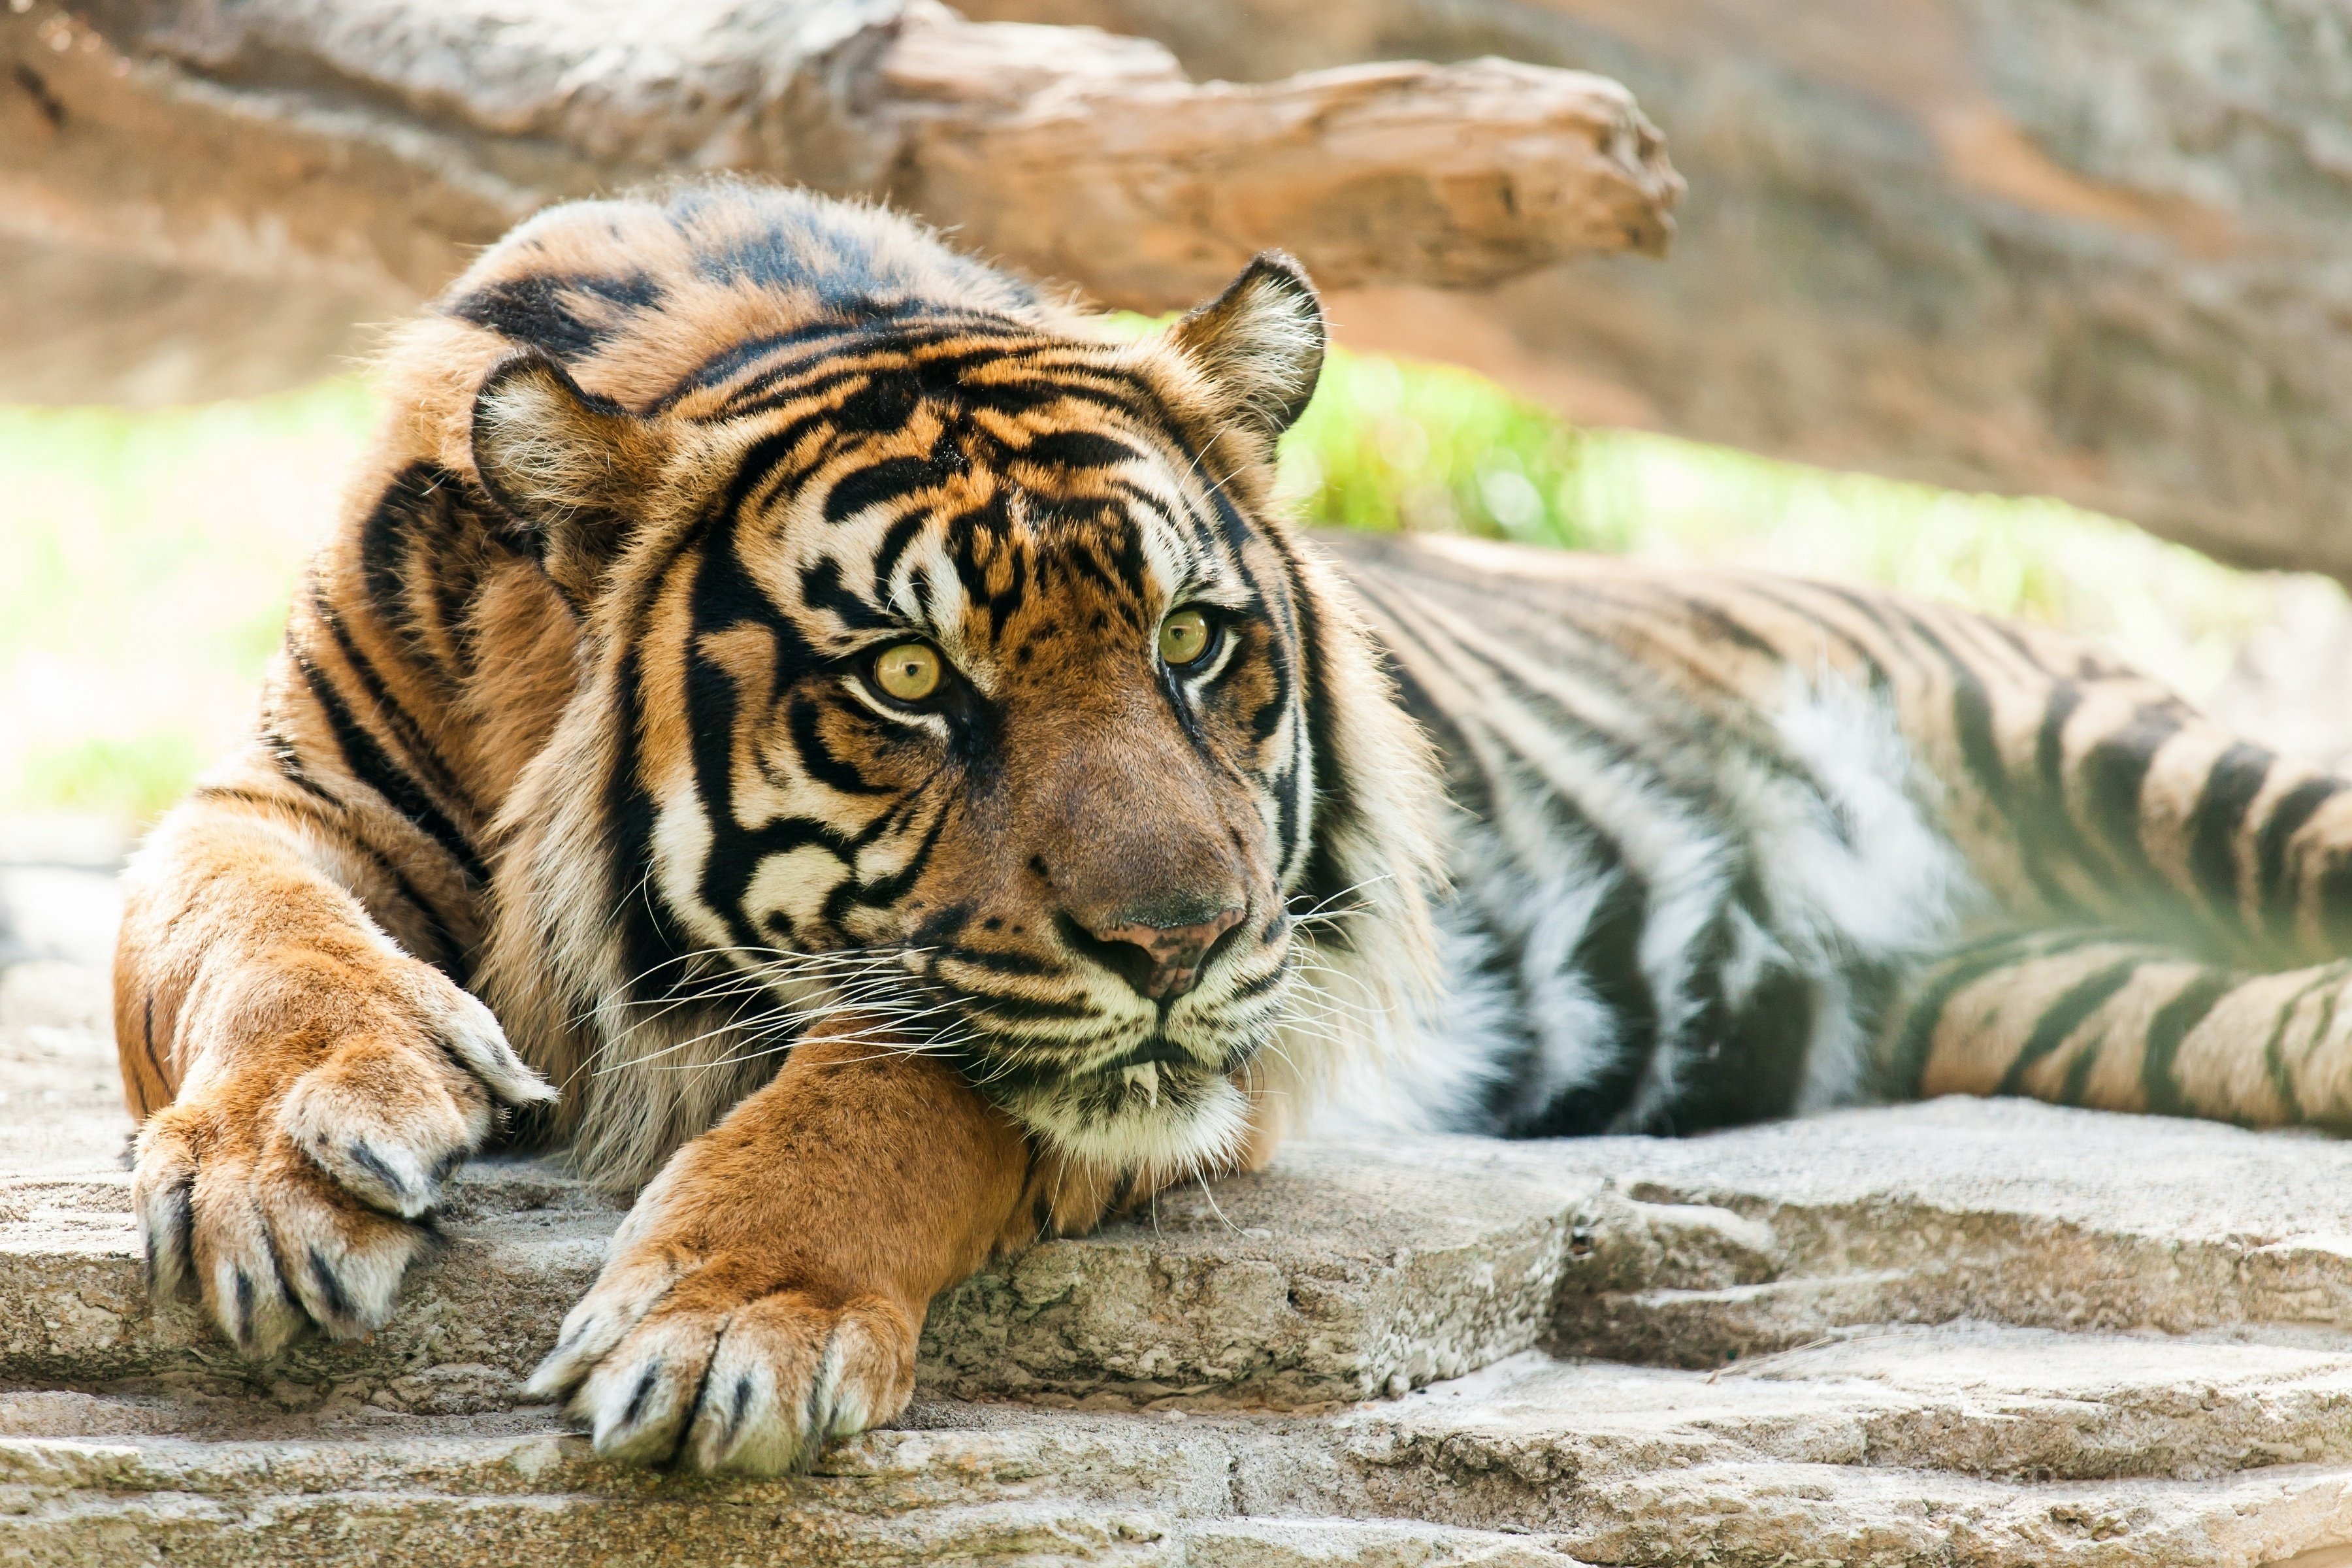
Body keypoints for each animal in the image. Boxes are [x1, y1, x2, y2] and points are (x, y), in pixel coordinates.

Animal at [114, 180, 2352, 1479]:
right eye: (910, 679)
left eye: (1197, 643)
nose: (1181, 939)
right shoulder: (284, 787)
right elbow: (229, 921)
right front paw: (284, 1162)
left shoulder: (1204, 1042)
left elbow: (902, 1085)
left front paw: (728, 1317)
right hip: (2083, 995)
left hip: (2131, 760)